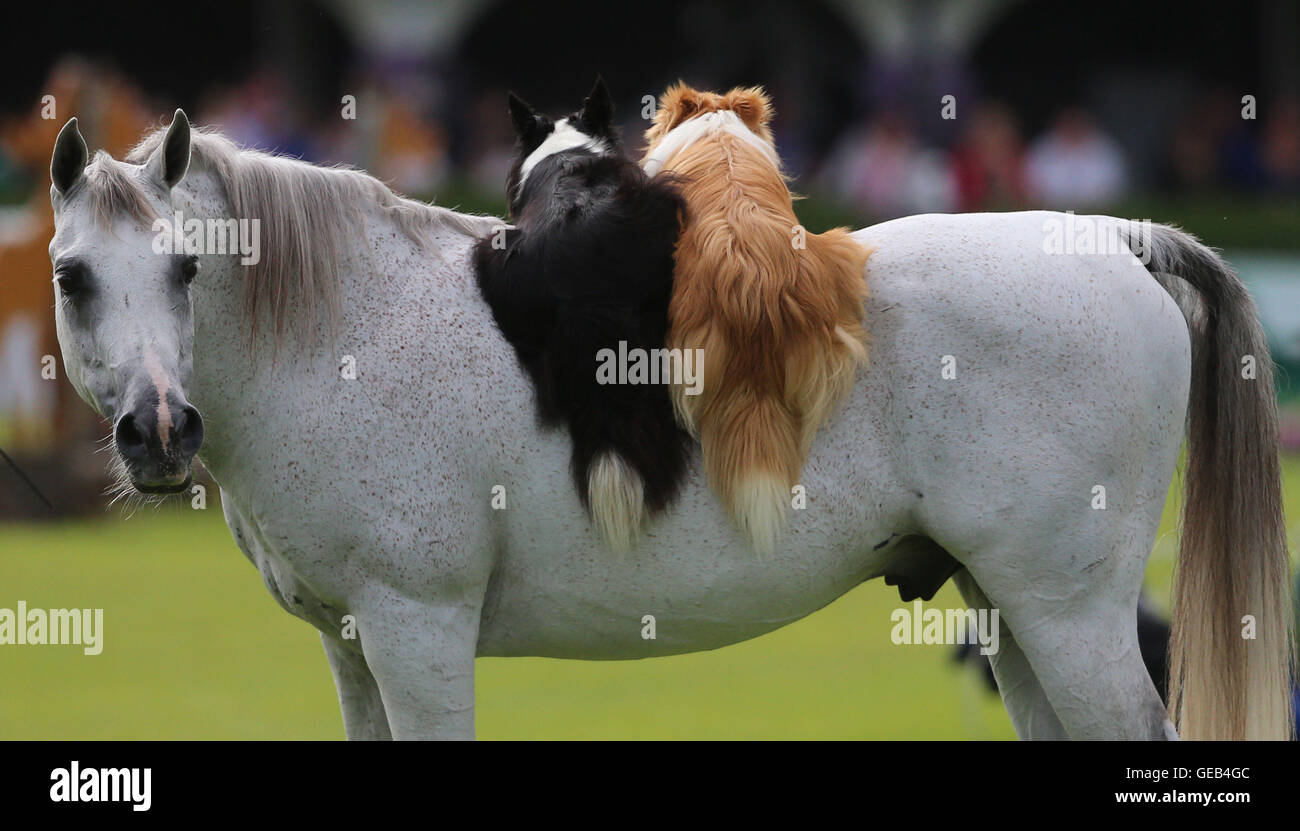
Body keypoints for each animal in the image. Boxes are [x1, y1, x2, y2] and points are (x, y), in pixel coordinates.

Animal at [47, 111, 1293, 740]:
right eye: (72, 276)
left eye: (185, 266)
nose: (160, 432)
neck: (351, 326)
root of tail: (1116, 237)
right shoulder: (353, 650)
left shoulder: (416, 633)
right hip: (1019, 614)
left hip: (1070, 620)